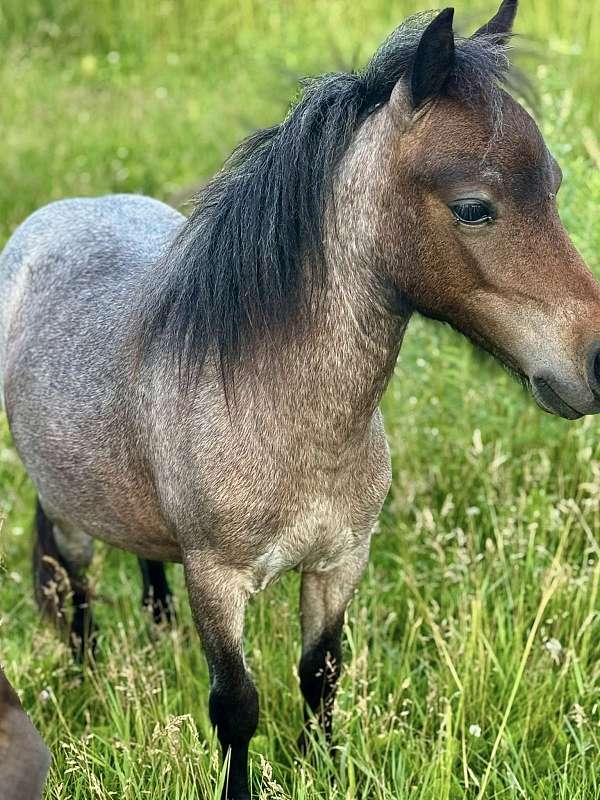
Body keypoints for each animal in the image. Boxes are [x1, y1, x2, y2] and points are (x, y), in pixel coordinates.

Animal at [2, 1, 600, 797]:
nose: (597, 360)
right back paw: (90, 673)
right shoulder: (218, 582)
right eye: (474, 208)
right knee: (75, 588)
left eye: (555, 186)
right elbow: (236, 706)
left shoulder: (338, 563)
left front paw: (328, 768)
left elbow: (321, 675)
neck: (282, 412)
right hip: (70, 516)